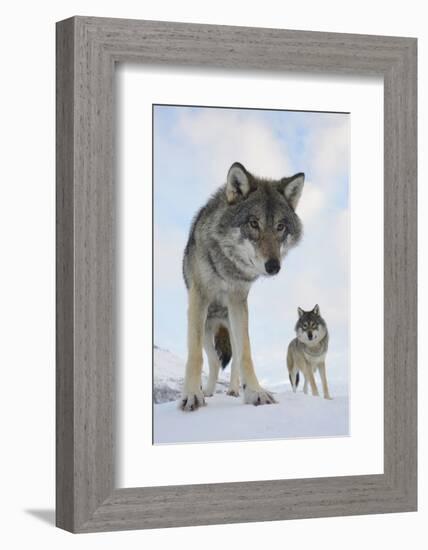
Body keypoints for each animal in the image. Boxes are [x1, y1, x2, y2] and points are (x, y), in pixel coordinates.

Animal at [180, 162, 304, 412]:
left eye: (280, 227)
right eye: (253, 223)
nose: (273, 266)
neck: (226, 266)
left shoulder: (238, 301)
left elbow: (246, 354)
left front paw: (255, 392)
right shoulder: (199, 298)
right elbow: (194, 355)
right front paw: (192, 395)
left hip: (231, 326)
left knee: (234, 358)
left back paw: (234, 390)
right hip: (207, 330)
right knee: (214, 361)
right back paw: (207, 391)